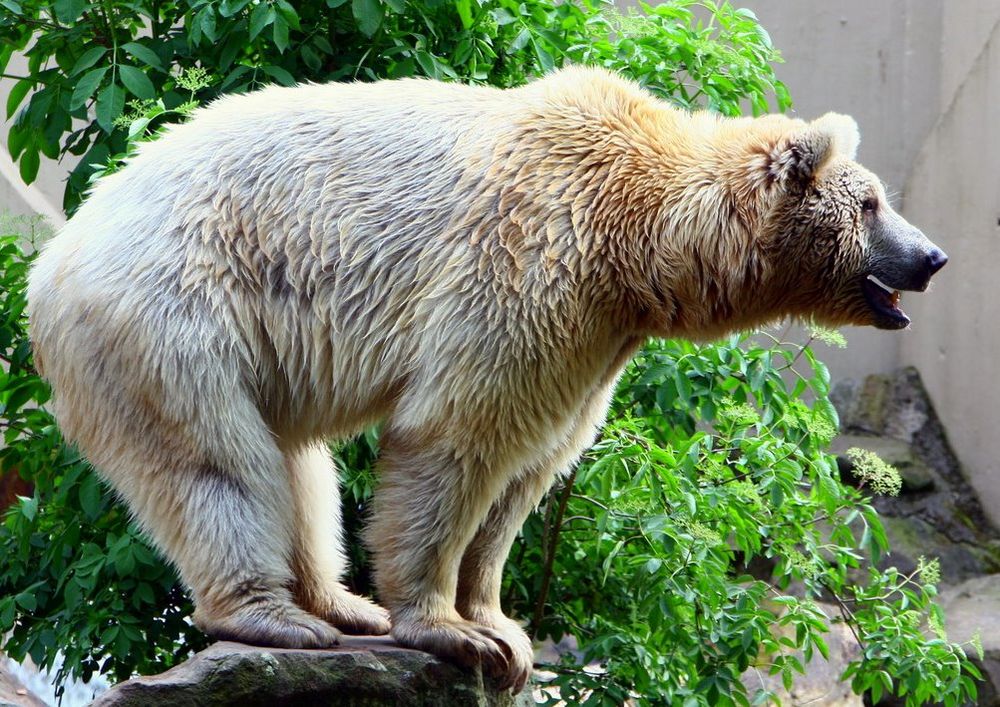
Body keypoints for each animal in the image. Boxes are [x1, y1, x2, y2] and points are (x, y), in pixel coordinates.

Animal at [23, 68, 944, 692]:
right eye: (869, 204)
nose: (932, 256)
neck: (637, 235)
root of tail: (52, 261)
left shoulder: (594, 336)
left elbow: (532, 464)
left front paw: (503, 627)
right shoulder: (529, 266)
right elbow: (458, 435)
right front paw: (451, 631)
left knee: (298, 467)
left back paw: (340, 602)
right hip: (176, 312)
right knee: (218, 463)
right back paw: (273, 615)